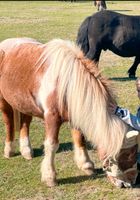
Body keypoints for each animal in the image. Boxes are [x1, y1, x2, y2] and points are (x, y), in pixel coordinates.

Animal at [0, 37, 138, 188]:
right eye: (126, 155)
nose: (130, 182)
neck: (66, 84)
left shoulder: (75, 115)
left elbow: (80, 139)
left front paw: (86, 165)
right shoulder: (52, 118)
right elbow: (51, 145)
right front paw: (50, 177)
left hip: (24, 103)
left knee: (25, 123)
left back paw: (26, 151)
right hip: (4, 102)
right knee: (9, 123)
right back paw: (9, 151)